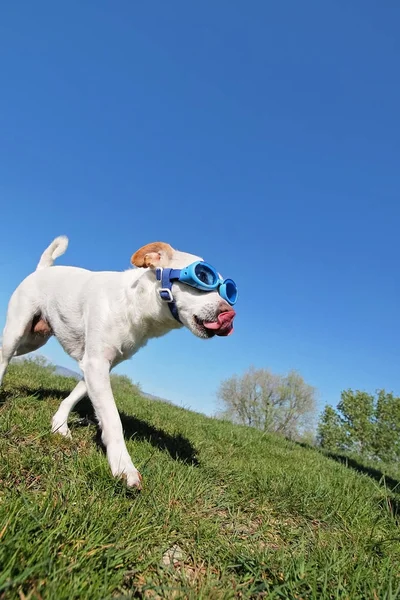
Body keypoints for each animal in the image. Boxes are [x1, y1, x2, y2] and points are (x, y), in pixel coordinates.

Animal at [0, 237, 236, 486]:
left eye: (228, 292)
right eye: (203, 277)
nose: (230, 316)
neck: (133, 304)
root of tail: (43, 269)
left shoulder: (98, 365)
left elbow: (75, 396)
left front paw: (60, 426)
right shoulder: (96, 363)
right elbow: (113, 419)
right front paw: (124, 467)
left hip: (33, 340)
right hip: (17, 331)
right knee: (4, 357)